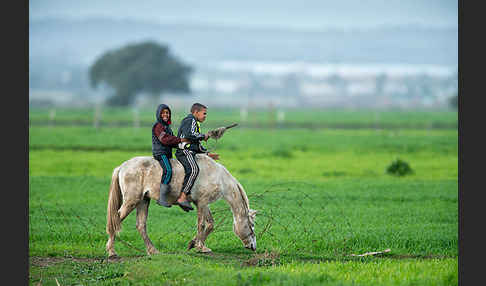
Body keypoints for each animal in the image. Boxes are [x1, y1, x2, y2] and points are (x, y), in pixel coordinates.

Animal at [105, 154, 258, 256]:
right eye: (251, 225)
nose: (253, 246)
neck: (218, 177)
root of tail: (122, 167)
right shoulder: (202, 203)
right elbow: (202, 224)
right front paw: (200, 247)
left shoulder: (203, 204)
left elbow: (210, 224)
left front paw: (194, 244)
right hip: (132, 201)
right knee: (115, 220)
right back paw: (111, 251)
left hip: (143, 201)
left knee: (141, 225)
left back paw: (153, 250)